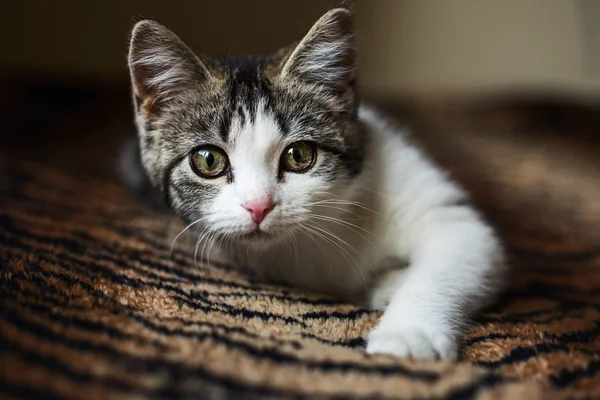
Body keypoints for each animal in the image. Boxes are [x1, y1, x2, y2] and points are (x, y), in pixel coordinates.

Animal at [125, 5, 506, 360]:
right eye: (208, 160)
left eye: (299, 155)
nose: (258, 206)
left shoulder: (444, 211)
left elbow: (456, 251)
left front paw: (408, 335)